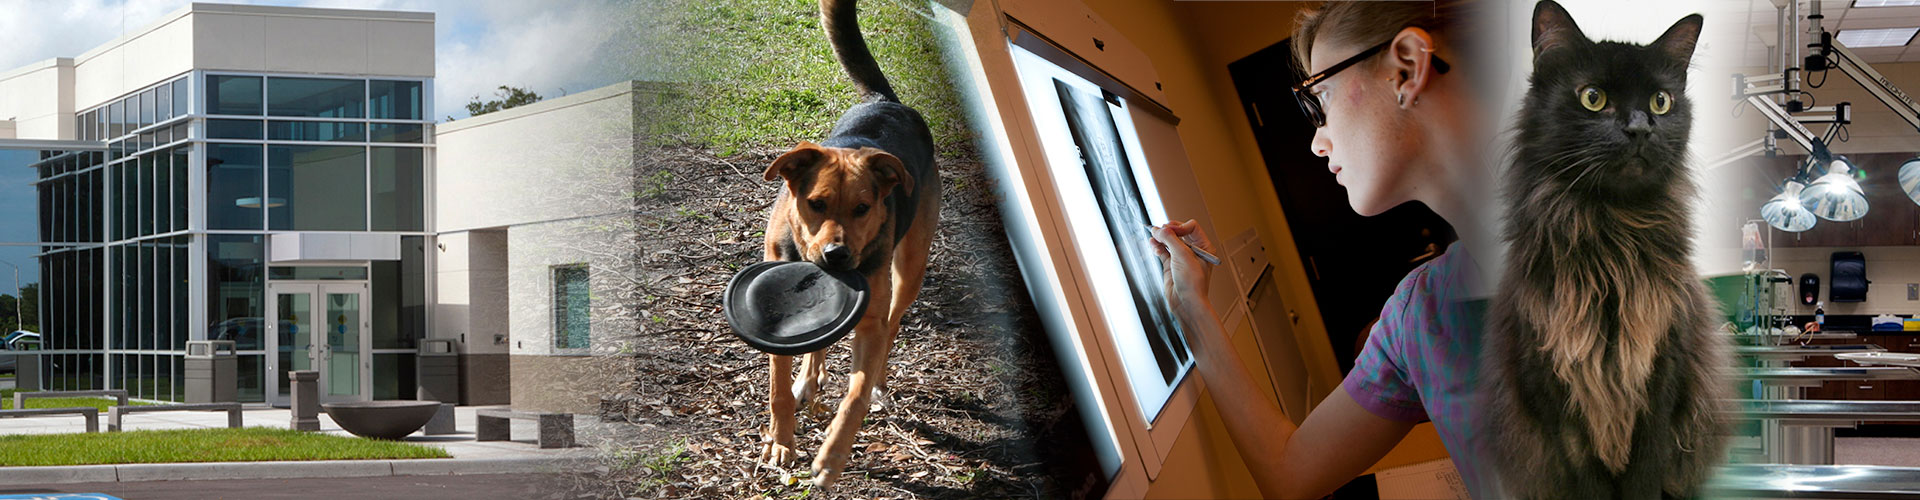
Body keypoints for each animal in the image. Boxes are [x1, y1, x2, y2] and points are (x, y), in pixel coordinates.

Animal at [752, 0, 940, 486]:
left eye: (863, 208)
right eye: (815, 204)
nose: (837, 256)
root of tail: (887, 103)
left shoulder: (869, 323)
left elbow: (853, 395)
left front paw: (832, 457)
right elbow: (777, 387)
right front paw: (781, 442)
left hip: (910, 267)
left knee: (893, 326)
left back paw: (877, 385)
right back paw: (807, 380)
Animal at [1482, 1, 1743, 496]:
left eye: (1661, 102)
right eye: (1593, 98)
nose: (1639, 129)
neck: (1611, 237)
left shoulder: (1662, 371)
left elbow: (1645, 473)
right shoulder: (1554, 387)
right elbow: (1588, 478)